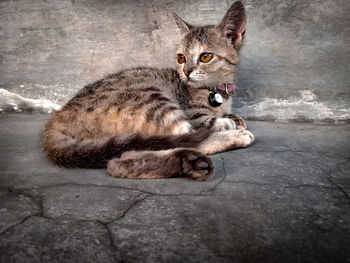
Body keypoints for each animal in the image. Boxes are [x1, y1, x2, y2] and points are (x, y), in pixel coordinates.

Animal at [41, 0, 254, 182]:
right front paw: (229, 124)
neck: (218, 91)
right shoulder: (194, 115)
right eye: (181, 58)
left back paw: (186, 163)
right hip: (154, 101)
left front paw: (235, 118)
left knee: (128, 153)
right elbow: (211, 122)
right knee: (182, 139)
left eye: (205, 56)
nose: (186, 72)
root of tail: (58, 117)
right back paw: (221, 145)